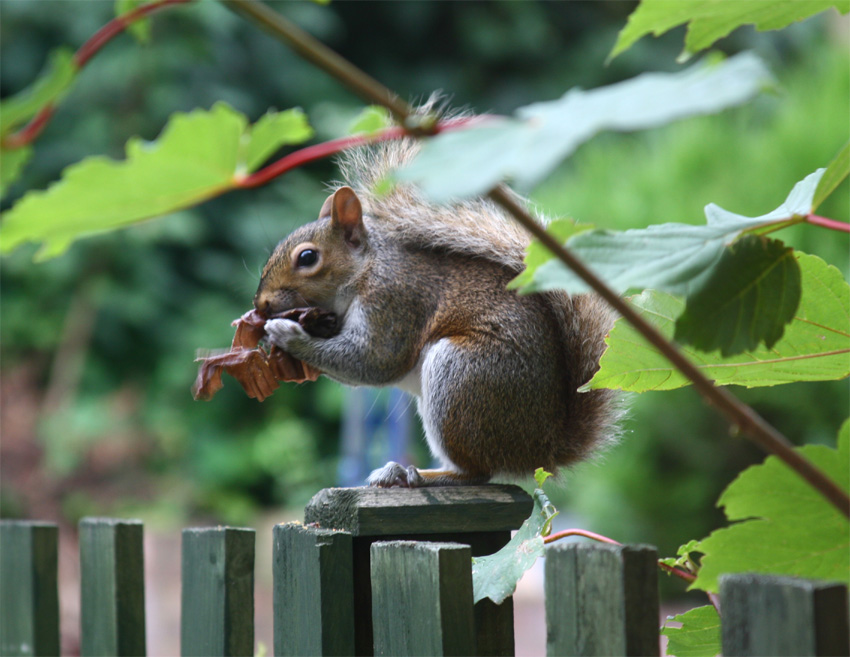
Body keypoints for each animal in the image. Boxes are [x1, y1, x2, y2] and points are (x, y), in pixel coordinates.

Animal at [255, 133, 620, 484]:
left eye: (307, 257)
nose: (261, 304)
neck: (366, 269)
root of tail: (542, 450)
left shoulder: (394, 301)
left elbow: (374, 361)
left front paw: (289, 336)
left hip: (463, 376)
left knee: (477, 473)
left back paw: (416, 474)